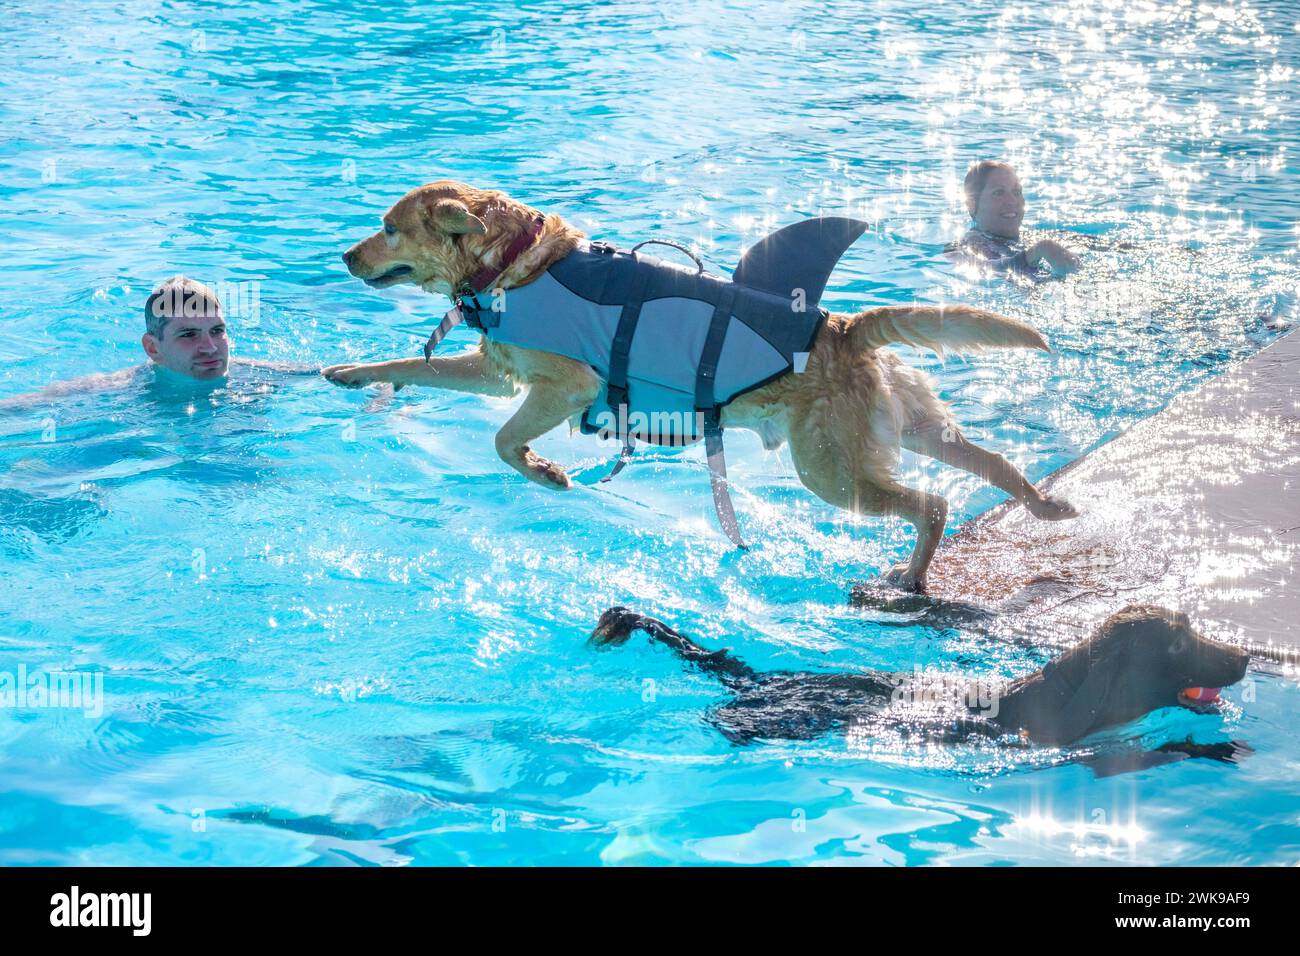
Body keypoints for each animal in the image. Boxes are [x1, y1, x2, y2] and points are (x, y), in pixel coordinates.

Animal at [322, 179, 1076, 590]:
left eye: (389, 229)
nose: (345, 254)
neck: (512, 261)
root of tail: (842, 327)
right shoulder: (495, 371)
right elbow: (406, 365)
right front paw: (352, 372)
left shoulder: (561, 390)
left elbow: (504, 443)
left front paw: (546, 472)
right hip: (909, 430)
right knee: (991, 461)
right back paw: (1044, 507)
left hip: (831, 470)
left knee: (932, 504)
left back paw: (914, 576)